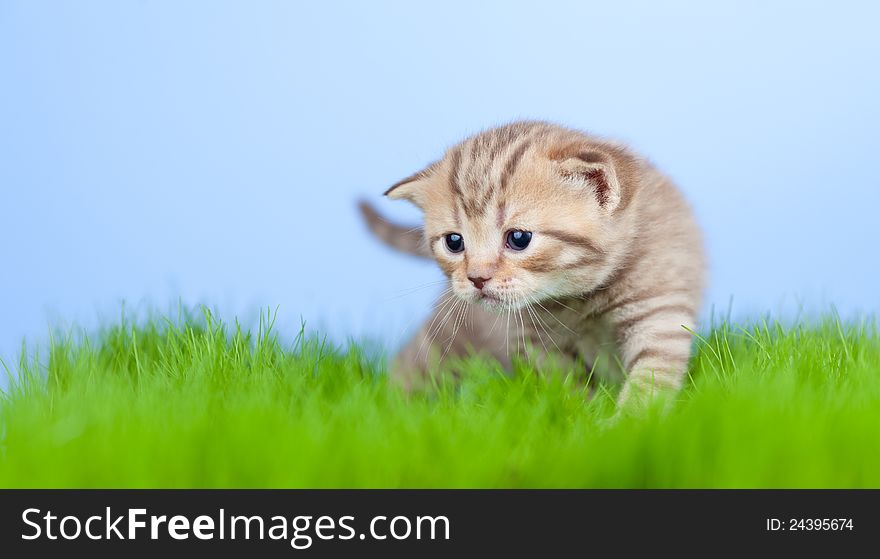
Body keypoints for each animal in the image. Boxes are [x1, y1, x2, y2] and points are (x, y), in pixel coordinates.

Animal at [360, 120, 704, 404]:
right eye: (454, 242)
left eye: (519, 238)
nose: (477, 278)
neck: (580, 300)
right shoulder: (538, 344)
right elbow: (570, 391)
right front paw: (586, 419)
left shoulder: (659, 310)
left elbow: (650, 380)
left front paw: (628, 424)